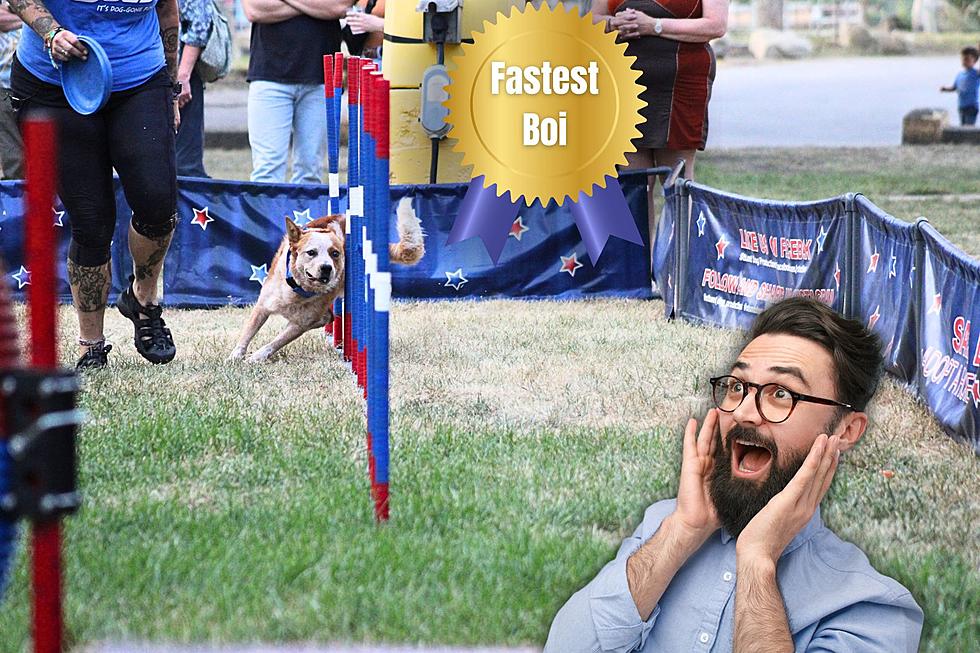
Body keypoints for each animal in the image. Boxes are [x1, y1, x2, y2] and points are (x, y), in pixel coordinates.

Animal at [234, 196, 428, 364]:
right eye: (311, 252)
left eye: (335, 253)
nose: (327, 268)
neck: (298, 290)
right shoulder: (263, 305)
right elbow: (247, 333)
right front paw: (235, 358)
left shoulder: (300, 324)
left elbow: (276, 342)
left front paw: (255, 357)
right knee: (329, 317)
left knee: (329, 317)